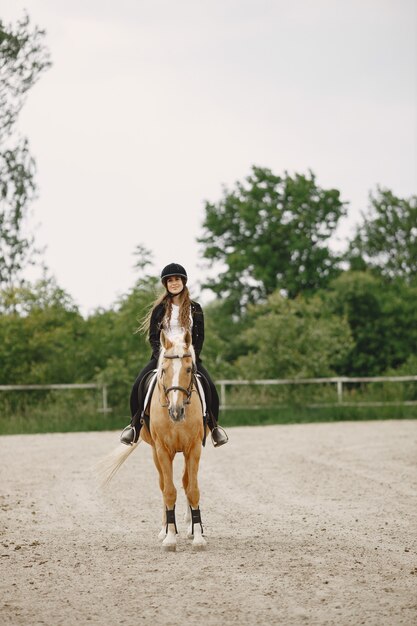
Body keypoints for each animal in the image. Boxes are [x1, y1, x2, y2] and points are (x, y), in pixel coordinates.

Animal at [98, 330, 208, 548]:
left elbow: (192, 489)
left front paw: (198, 536)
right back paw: (164, 529)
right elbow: (169, 491)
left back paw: (190, 527)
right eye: (164, 370)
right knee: (163, 485)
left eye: (189, 369)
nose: (176, 411)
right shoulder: (162, 450)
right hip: (155, 453)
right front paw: (170, 537)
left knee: (186, 481)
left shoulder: (193, 448)